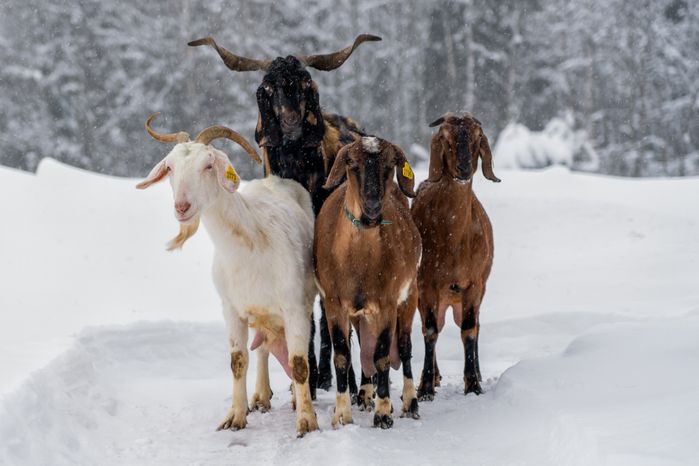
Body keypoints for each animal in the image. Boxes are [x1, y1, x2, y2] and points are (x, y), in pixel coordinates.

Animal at [136, 113, 318, 436]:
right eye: (170, 168)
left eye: (208, 165)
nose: (182, 207)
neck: (252, 242)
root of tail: (275, 180)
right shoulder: (231, 309)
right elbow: (238, 361)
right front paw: (236, 416)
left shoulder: (295, 306)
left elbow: (298, 363)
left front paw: (307, 421)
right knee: (262, 351)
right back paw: (260, 395)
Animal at [314, 136, 422, 429]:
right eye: (351, 163)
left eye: (390, 164)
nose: (372, 207)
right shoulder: (334, 303)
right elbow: (342, 355)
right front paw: (342, 414)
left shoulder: (387, 303)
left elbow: (383, 356)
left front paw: (384, 413)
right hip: (359, 312)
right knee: (364, 346)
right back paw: (364, 394)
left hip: (410, 295)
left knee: (404, 346)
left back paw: (410, 402)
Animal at [410, 112, 500, 399]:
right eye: (447, 141)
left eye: (476, 140)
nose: (463, 169)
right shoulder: (426, 283)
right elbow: (430, 330)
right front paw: (425, 388)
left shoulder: (474, 283)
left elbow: (469, 329)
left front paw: (473, 385)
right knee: (435, 324)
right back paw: (434, 377)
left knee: (475, 325)